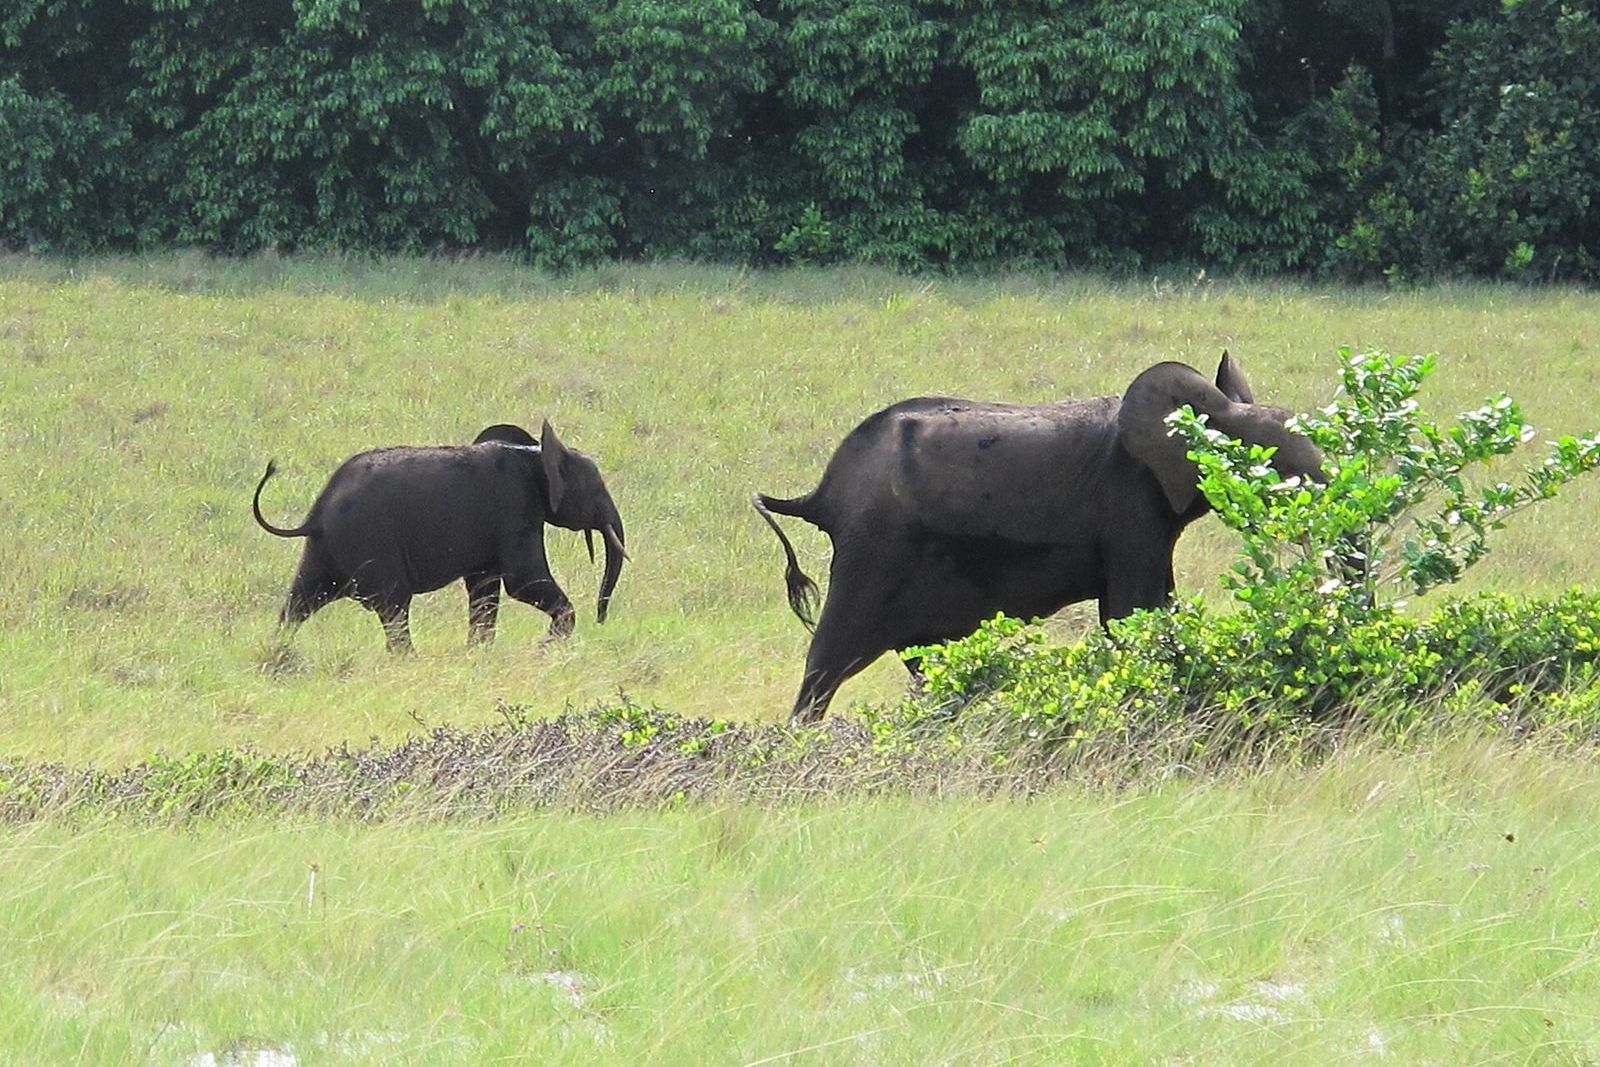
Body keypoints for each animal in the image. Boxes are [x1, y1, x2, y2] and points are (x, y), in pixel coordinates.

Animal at [252, 419, 626, 652]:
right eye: (596, 488)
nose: (601, 620)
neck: (534, 453)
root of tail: (315, 515)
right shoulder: (516, 509)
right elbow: (522, 581)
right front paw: (545, 647)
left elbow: (485, 587)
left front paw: (478, 653)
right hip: (370, 542)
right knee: (394, 606)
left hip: (327, 548)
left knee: (299, 601)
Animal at [753, 353, 1323, 722]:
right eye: (1272, 463)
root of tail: (820, 494)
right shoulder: (1129, 501)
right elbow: (1131, 612)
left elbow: (1154, 605)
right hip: (874, 547)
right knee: (830, 657)